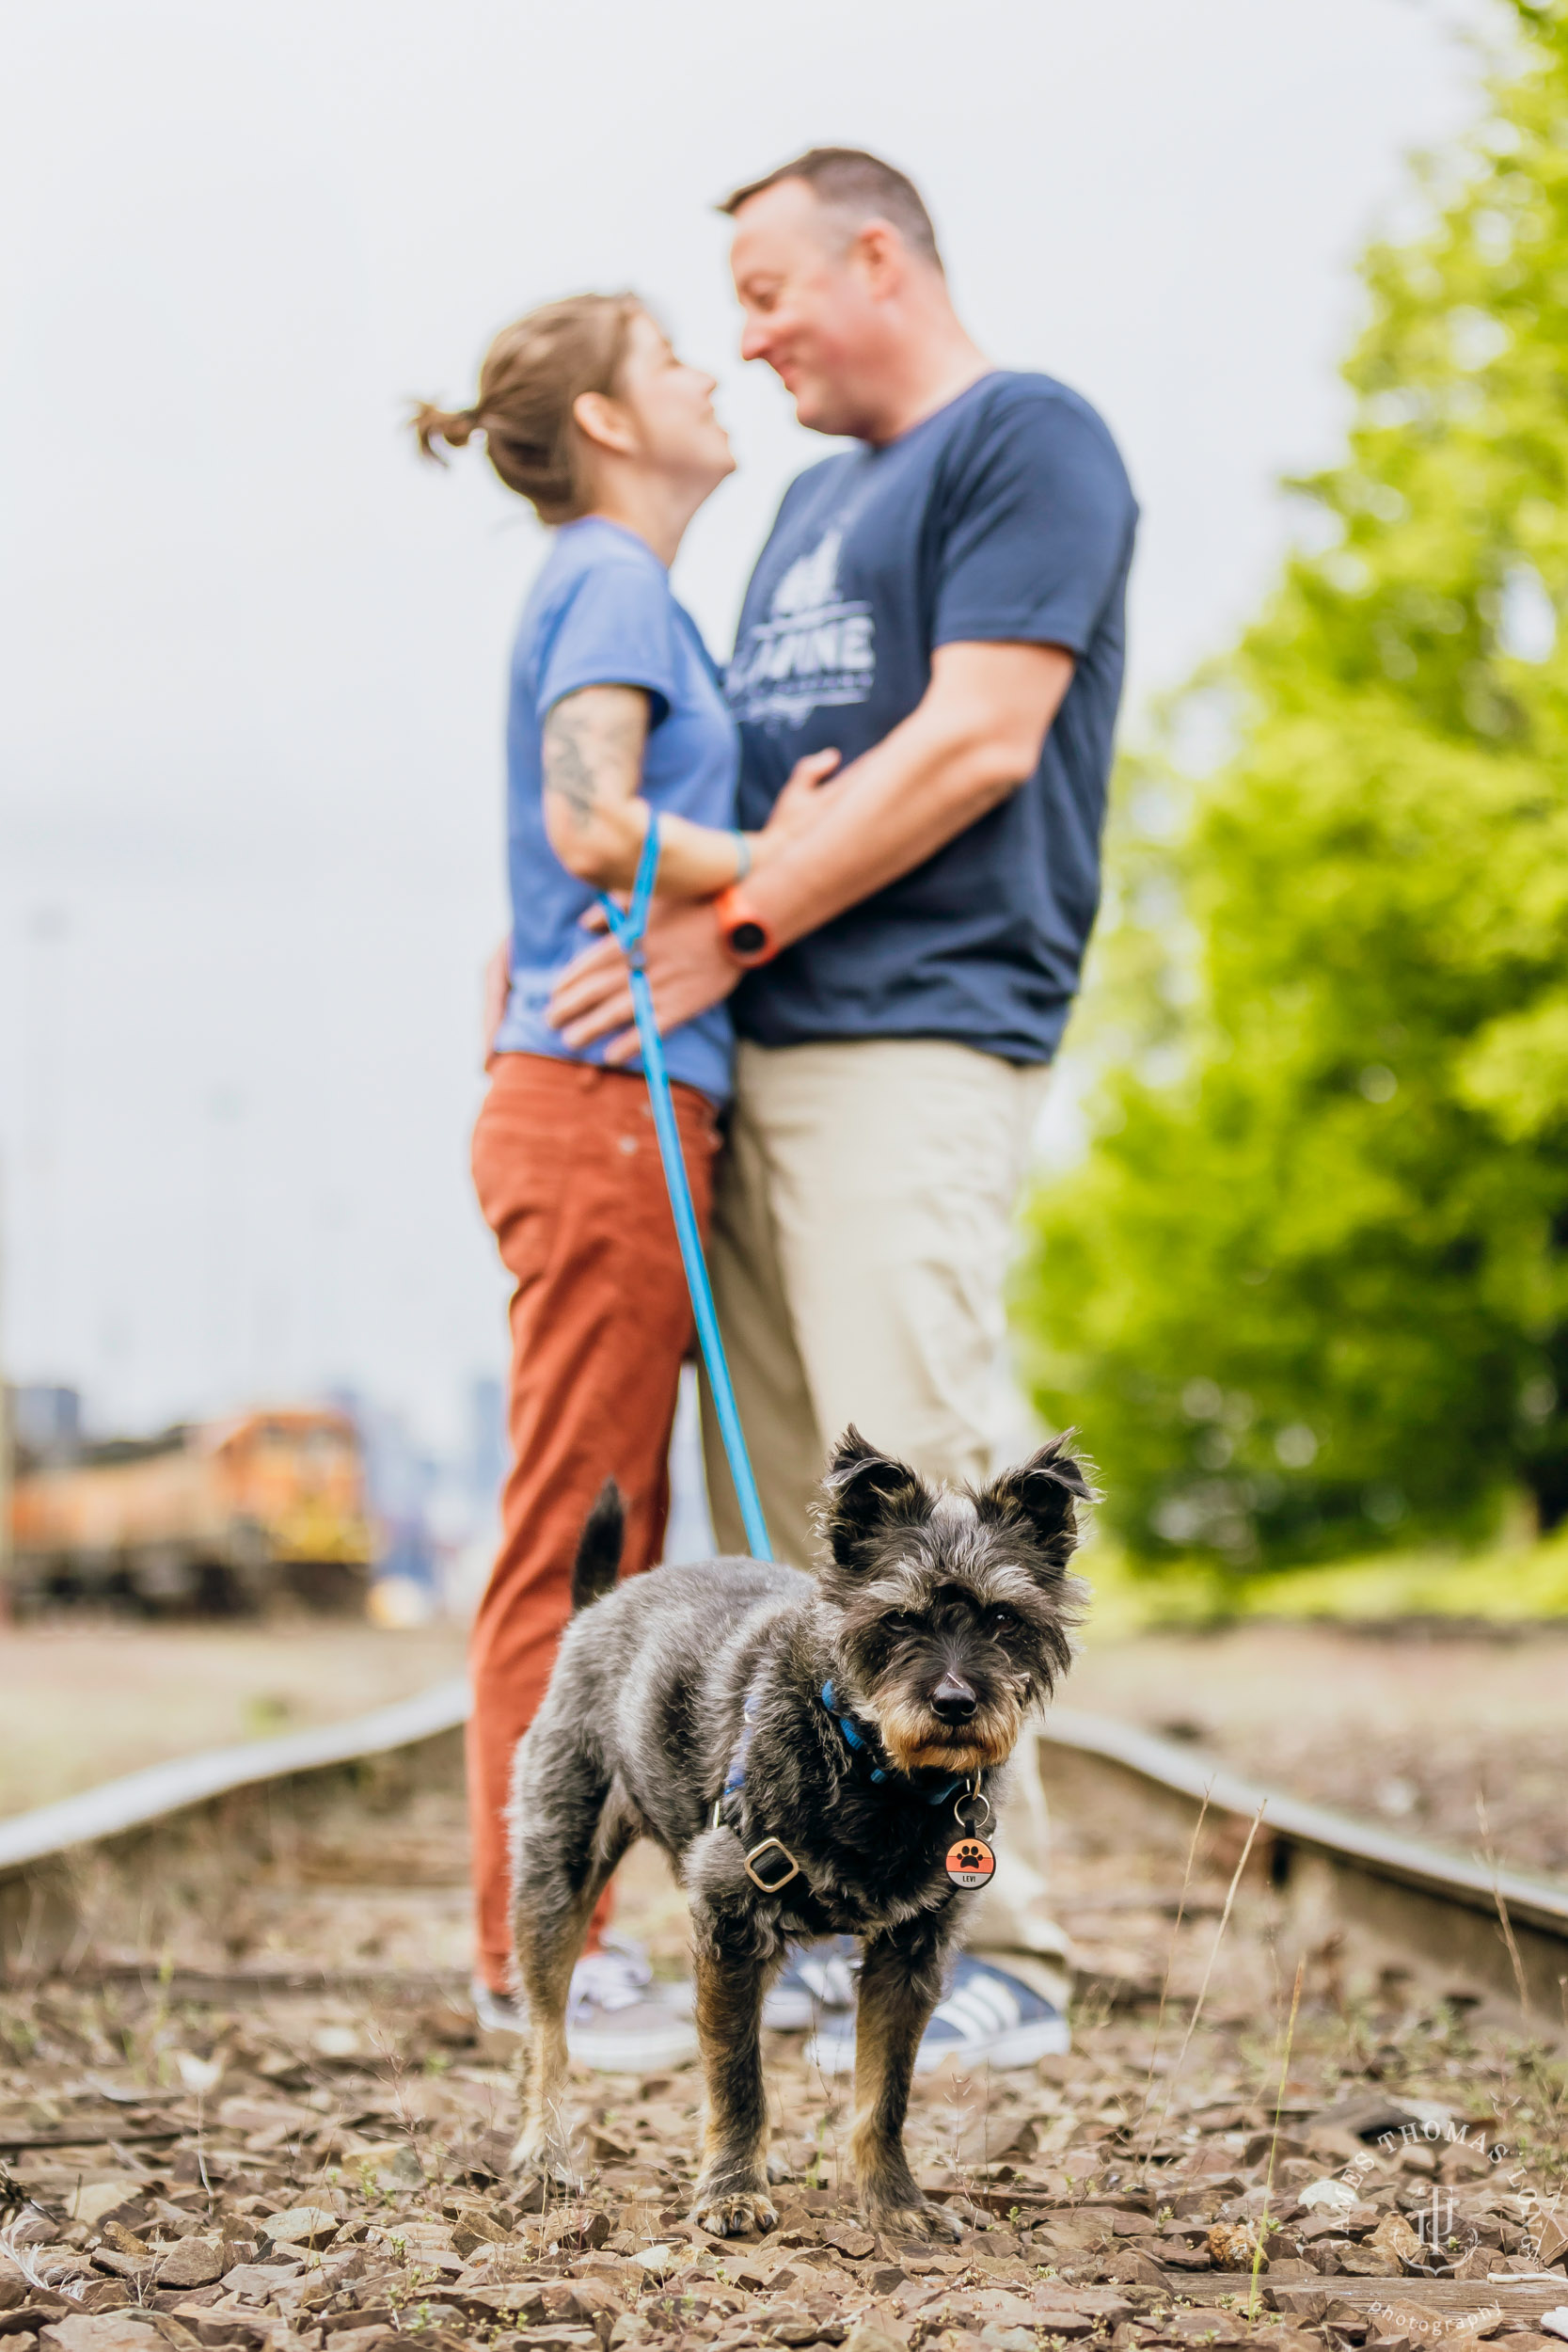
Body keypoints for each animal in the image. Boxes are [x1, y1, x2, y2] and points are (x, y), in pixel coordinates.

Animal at [505, 1411, 1090, 2239]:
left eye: (1004, 1619)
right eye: (897, 1618)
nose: (953, 1702)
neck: (874, 1770)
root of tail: (600, 1605)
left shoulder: (910, 1955)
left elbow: (884, 2094)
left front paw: (894, 2202)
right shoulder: (729, 1926)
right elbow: (737, 2076)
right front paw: (731, 2190)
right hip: (555, 1876)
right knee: (545, 2030)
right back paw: (543, 2155)